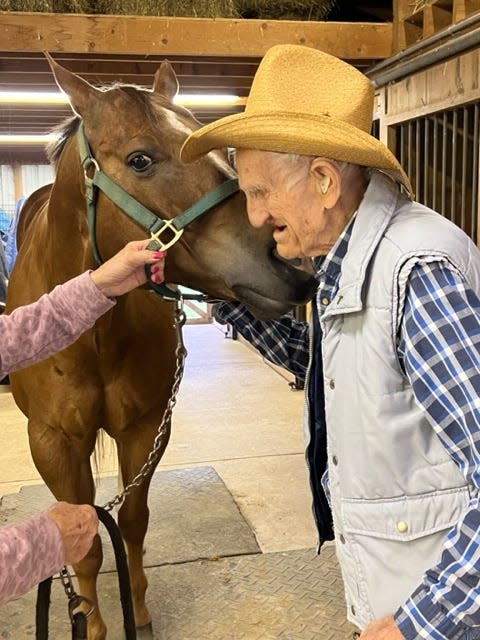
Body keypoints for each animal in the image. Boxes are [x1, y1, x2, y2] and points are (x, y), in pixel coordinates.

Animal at [6, 57, 316, 636]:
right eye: (140, 159)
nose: (291, 260)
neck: (94, 337)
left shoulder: (146, 427)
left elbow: (131, 522)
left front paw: (141, 613)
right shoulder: (53, 442)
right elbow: (84, 543)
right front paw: (93, 624)